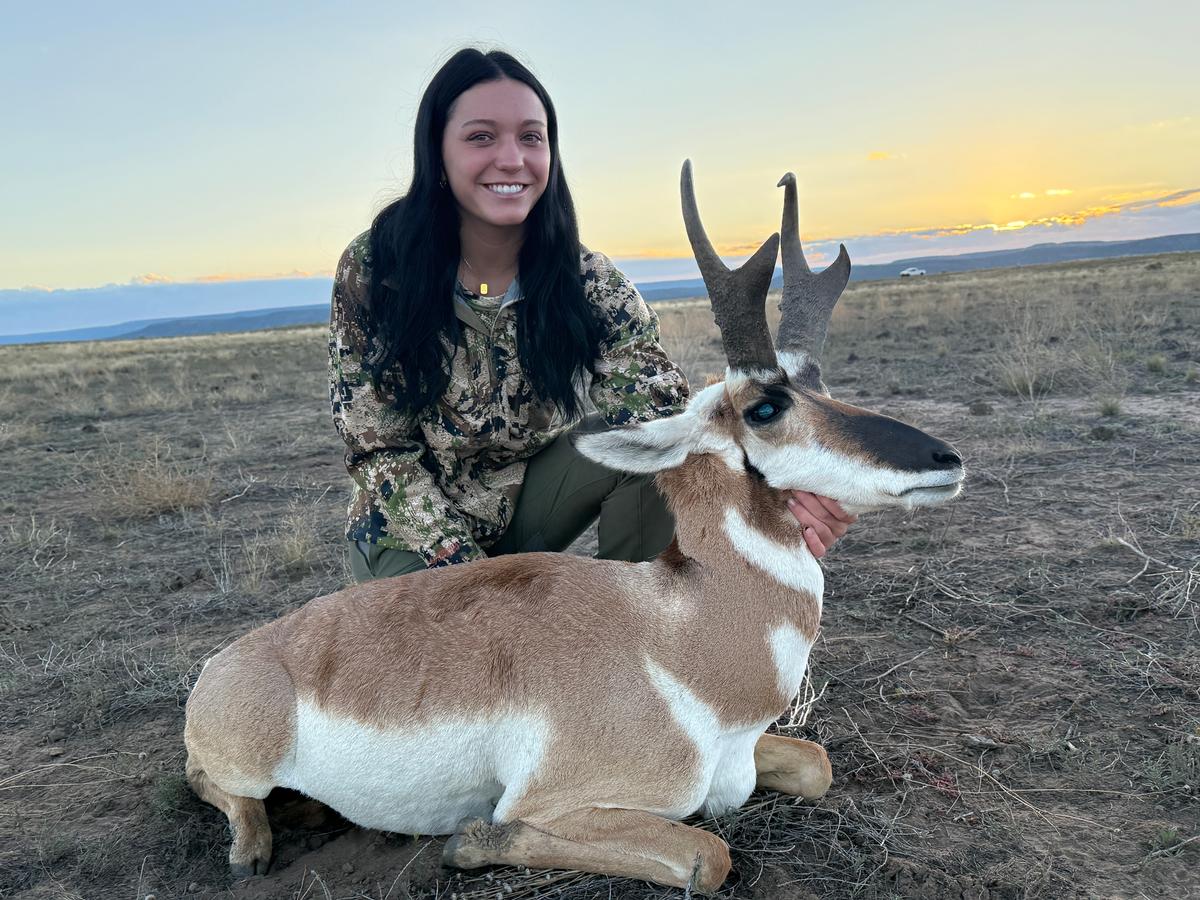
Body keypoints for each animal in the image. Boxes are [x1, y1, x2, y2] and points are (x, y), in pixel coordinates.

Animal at [183, 160, 964, 894]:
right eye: (766, 407)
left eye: (822, 387)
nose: (946, 459)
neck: (678, 637)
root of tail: (227, 662)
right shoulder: (567, 802)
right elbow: (705, 853)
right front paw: (472, 842)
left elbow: (817, 764)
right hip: (245, 764)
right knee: (208, 782)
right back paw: (254, 848)